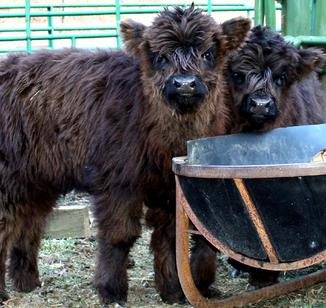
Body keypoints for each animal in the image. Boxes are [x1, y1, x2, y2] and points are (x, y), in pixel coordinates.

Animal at [0, 6, 251, 304]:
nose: (184, 84)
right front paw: (112, 291)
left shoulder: (169, 188)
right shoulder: (119, 182)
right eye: (160, 57)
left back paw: (27, 281)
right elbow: (120, 236)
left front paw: (172, 290)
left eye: (208, 53)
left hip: (38, 178)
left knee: (30, 223)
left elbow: (169, 237)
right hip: (9, 175)